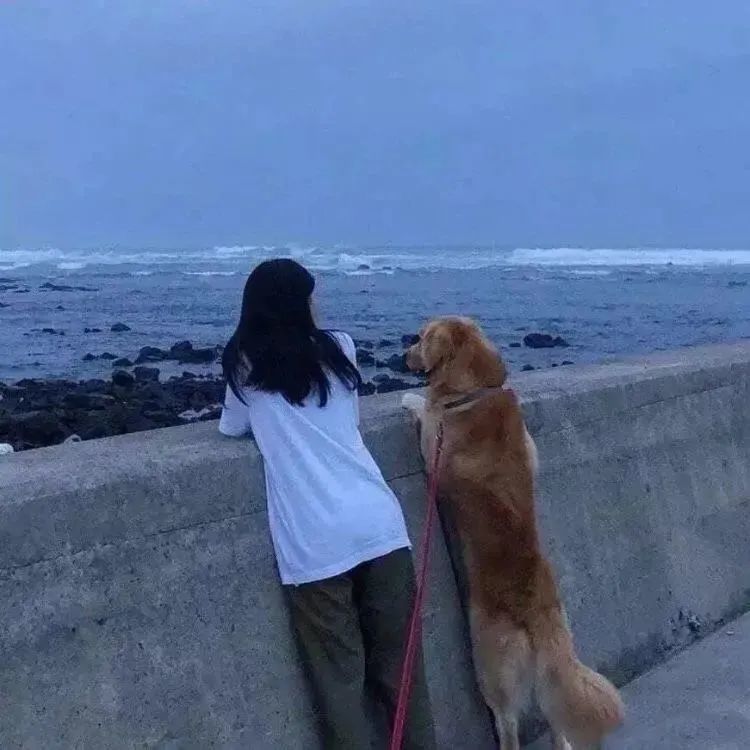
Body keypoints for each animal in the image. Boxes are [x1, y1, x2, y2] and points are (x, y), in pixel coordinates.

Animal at [402, 318, 624, 750]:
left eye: (420, 338)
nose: (403, 355)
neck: (473, 391)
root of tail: (535, 609)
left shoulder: (434, 446)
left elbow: (425, 410)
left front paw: (407, 399)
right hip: (552, 660)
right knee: (558, 722)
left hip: (492, 666)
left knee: (507, 722)